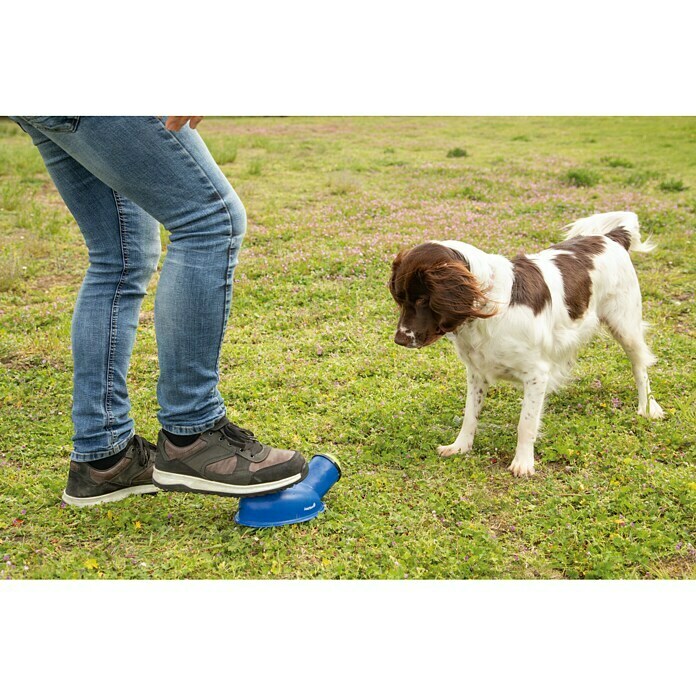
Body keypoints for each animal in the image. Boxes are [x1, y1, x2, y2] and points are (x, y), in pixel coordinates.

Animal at [392, 209, 664, 476]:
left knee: (640, 368)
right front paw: (460, 446)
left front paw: (523, 462)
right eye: (401, 299)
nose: (399, 340)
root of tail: (611, 237)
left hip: (625, 326)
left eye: (422, 300)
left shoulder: (536, 374)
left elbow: (526, 423)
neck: (489, 305)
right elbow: (470, 413)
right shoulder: (477, 372)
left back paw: (648, 407)